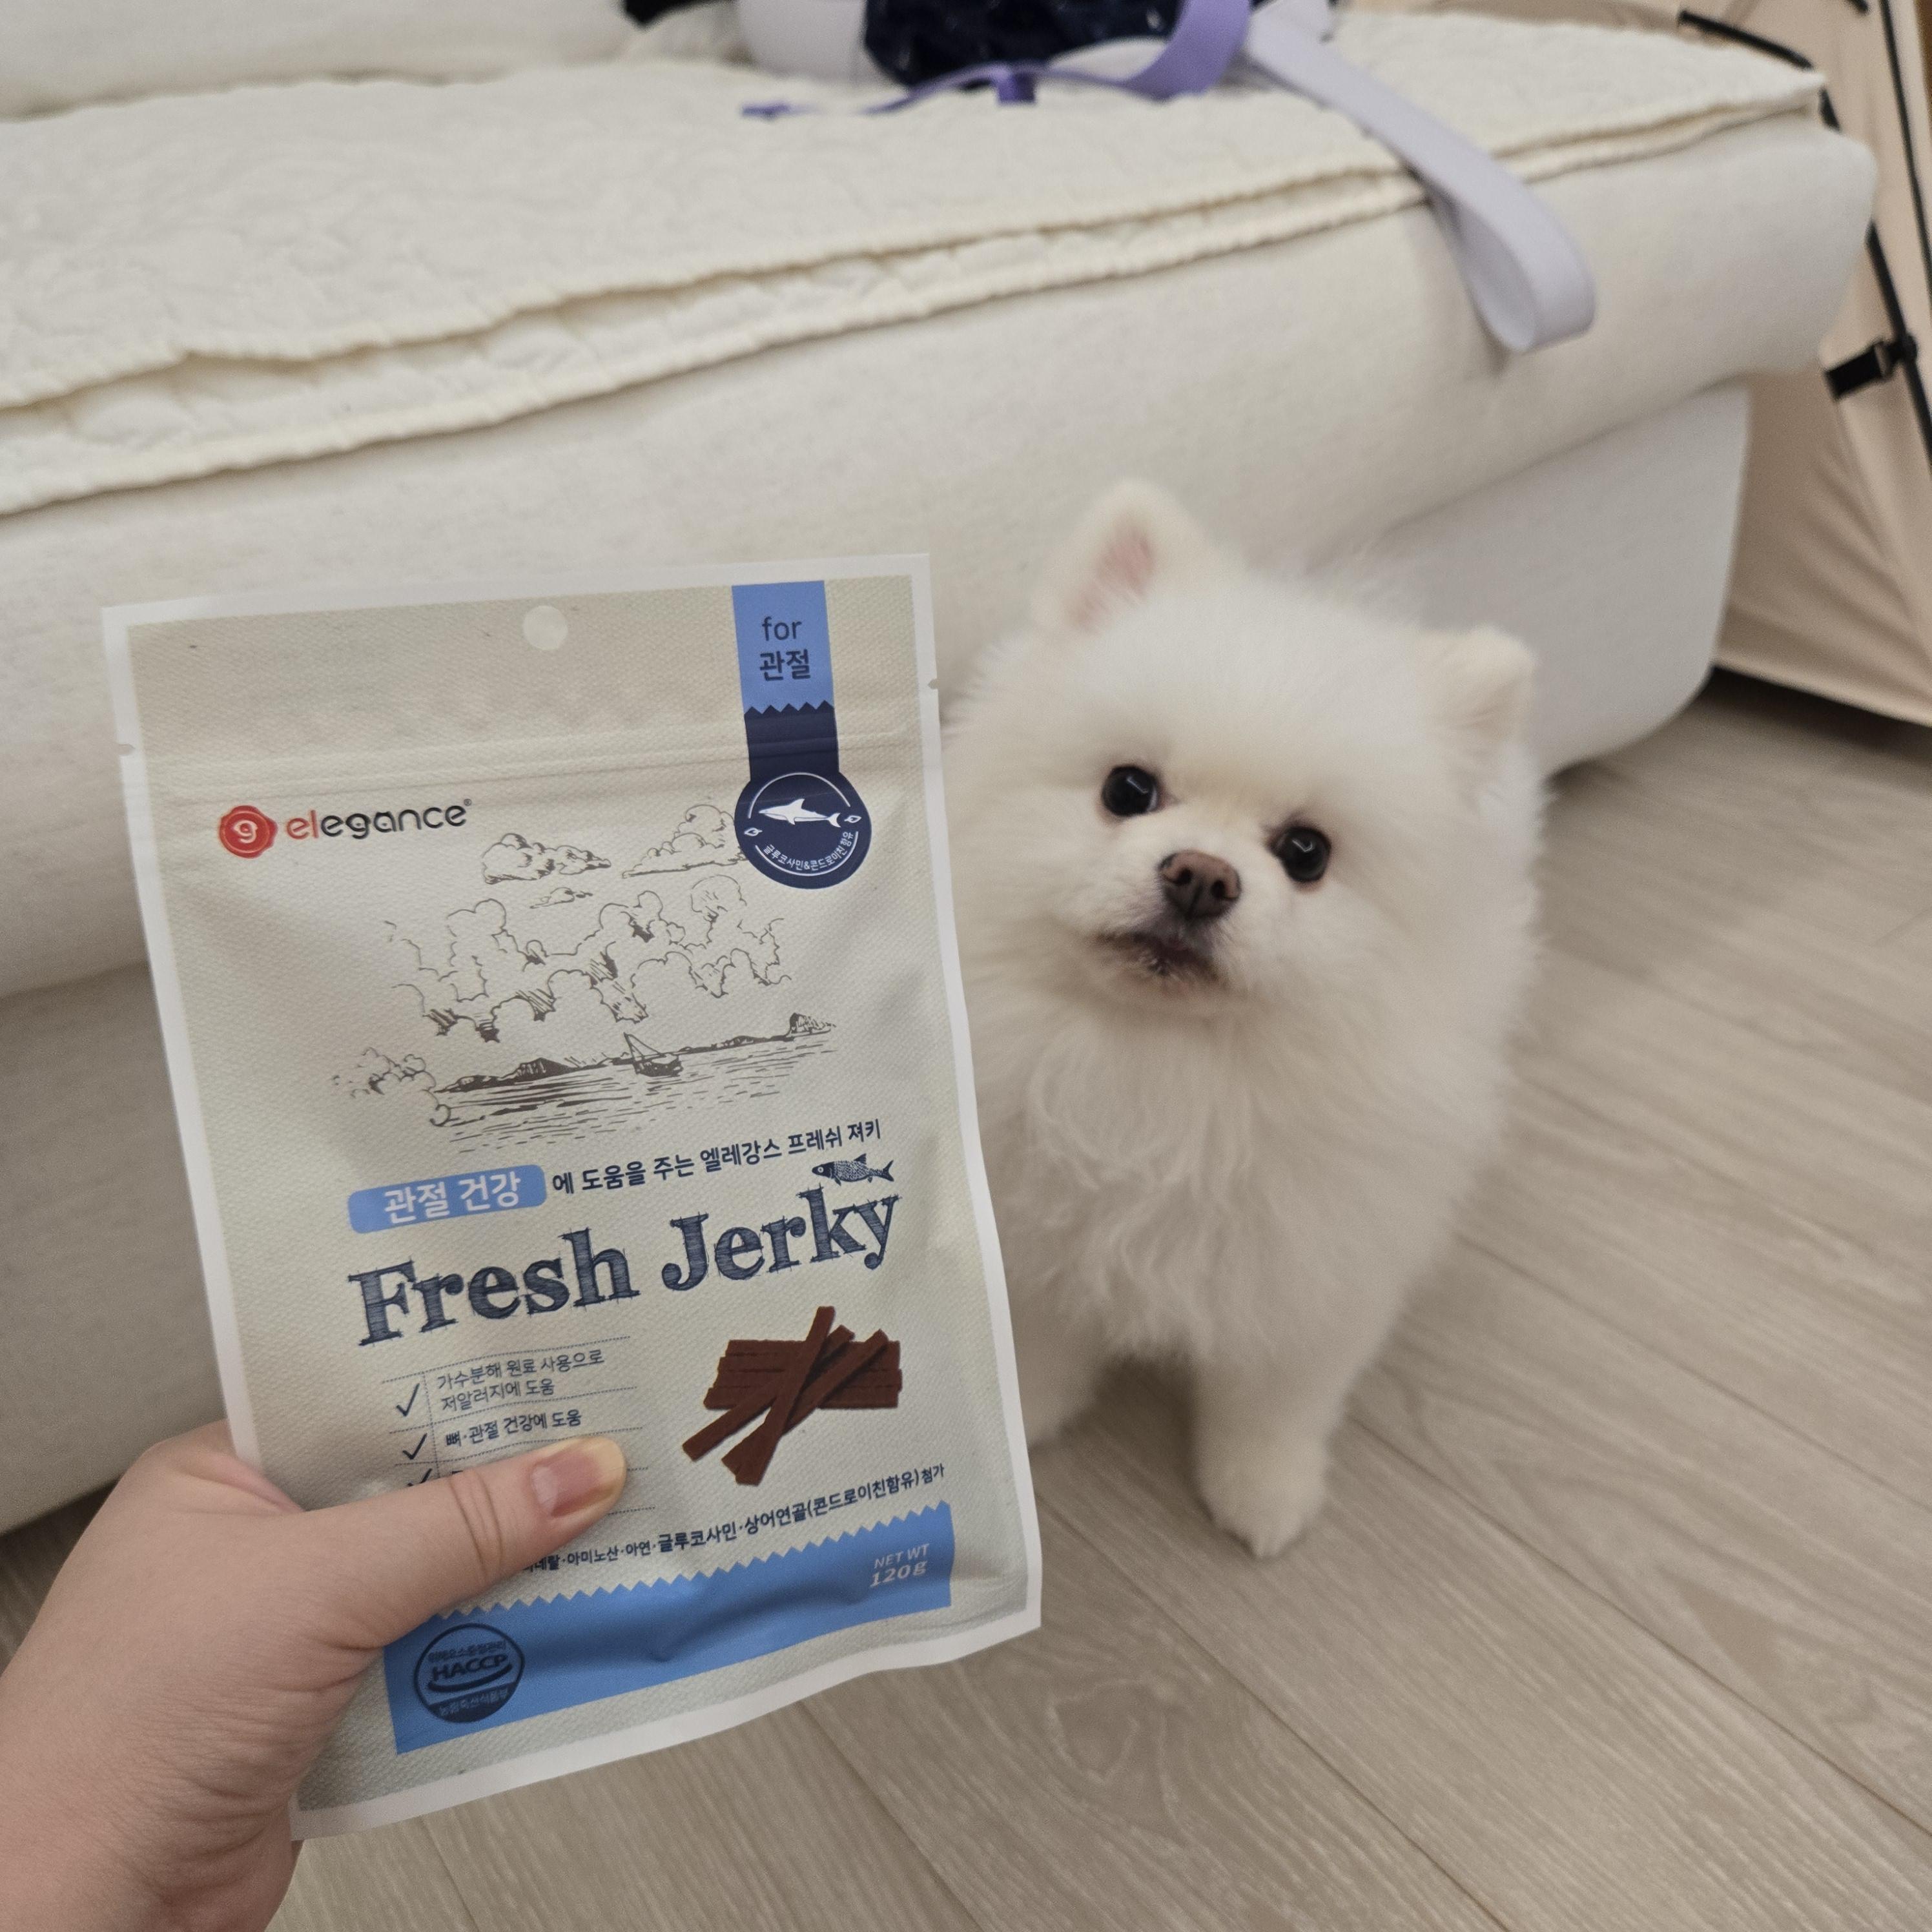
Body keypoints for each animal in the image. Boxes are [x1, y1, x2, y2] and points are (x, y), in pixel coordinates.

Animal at [946, 482, 1540, 1556]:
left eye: (1306, 852)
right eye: (1128, 789)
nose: (1200, 876)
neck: (1162, 1071)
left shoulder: (1311, 1269)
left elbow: (1273, 1400)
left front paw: (1264, 1494)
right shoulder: (1037, 1233)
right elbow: (1043, 1337)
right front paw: (1036, 1417)